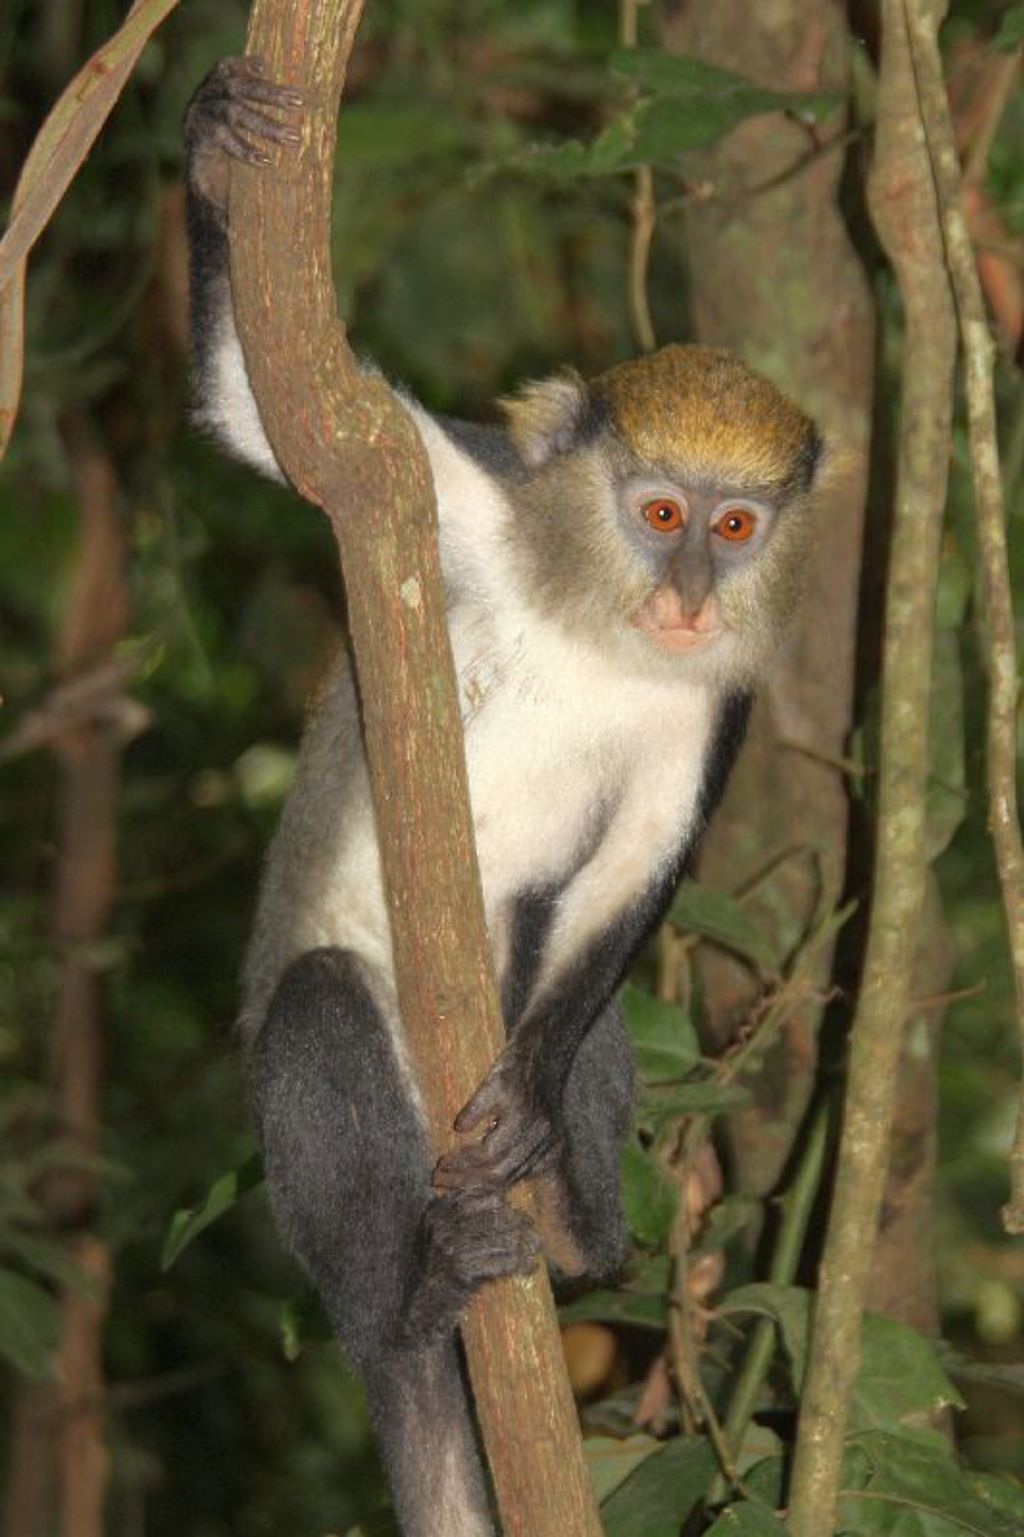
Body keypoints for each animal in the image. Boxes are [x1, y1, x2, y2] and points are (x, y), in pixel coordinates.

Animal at [185, 57, 824, 1537]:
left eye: (736, 527)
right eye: (660, 514)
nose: (689, 599)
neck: (604, 628)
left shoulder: (715, 701)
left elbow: (634, 864)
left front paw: (533, 1095)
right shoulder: (462, 501)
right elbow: (264, 411)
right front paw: (210, 142)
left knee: (566, 974)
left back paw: (575, 1231)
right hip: (336, 1158)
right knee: (321, 1016)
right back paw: (412, 1301)